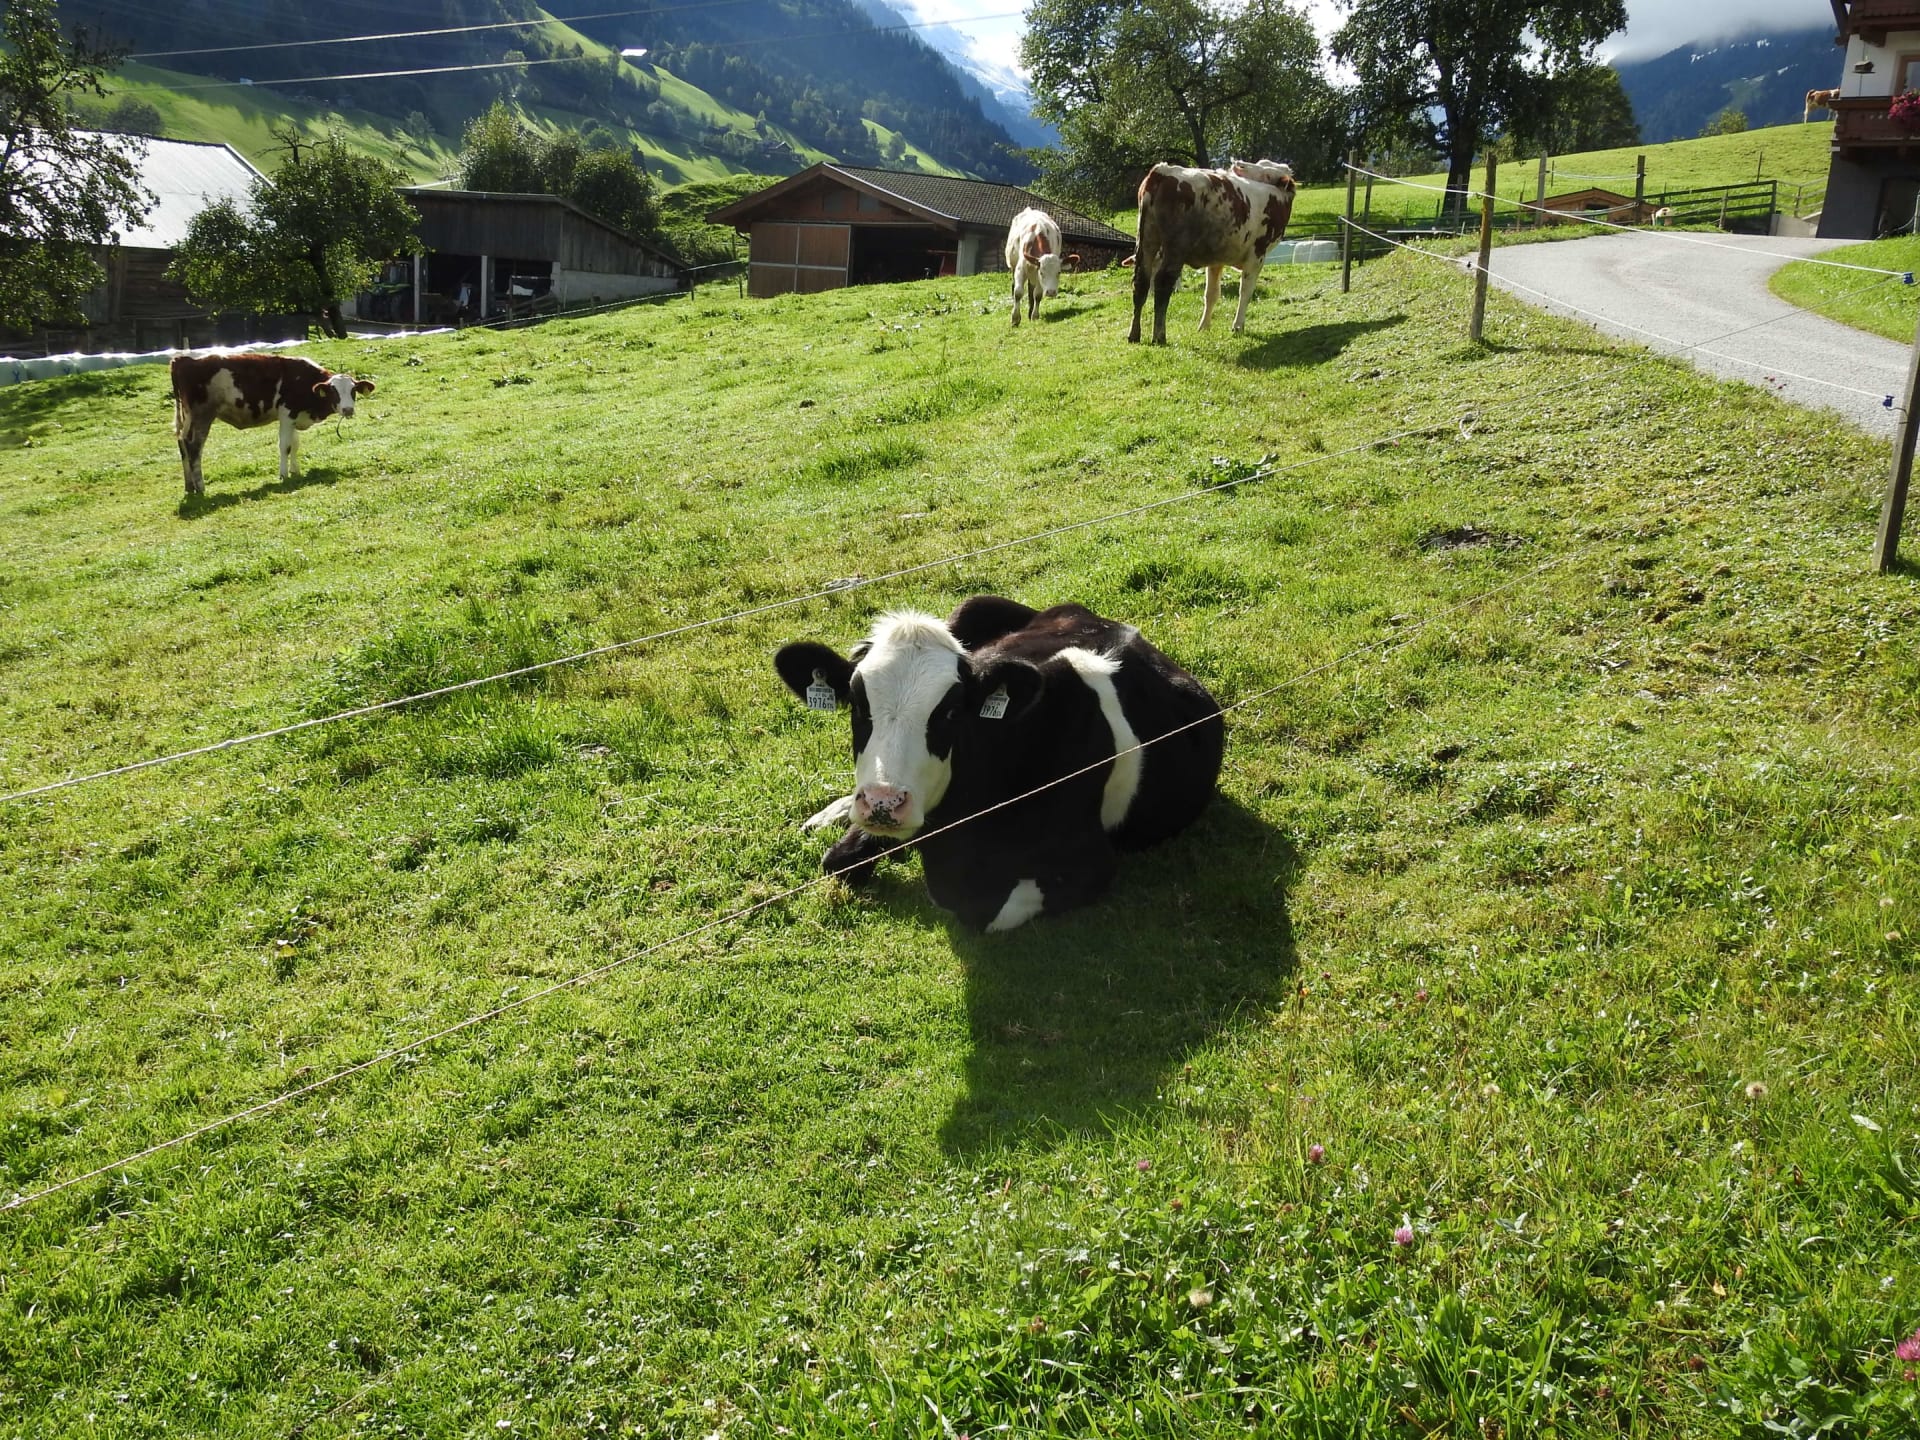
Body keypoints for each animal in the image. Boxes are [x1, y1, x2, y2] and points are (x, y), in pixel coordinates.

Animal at [170, 353, 376, 496]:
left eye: (353, 391)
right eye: (334, 392)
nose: (348, 410)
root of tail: (182, 359)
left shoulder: (293, 417)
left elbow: (295, 445)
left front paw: (295, 470)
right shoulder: (287, 414)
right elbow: (285, 446)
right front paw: (283, 475)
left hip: (187, 417)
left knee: (182, 443)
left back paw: (189, 486)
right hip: (203, 416)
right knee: (194, 447)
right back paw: (201, 487)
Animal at [774, 596, 1224, 932]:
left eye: (951, 712)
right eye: (857, 705)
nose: (883, 802)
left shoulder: (1091, 863)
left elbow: (978, 909)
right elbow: (837, 859)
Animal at [1128, 157, 1296, 345]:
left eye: (1266, 172)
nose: (1239, 163)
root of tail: (1162, 171)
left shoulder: (1217, 259)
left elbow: (1211, 294)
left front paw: (1204, 327)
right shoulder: (1257, 255)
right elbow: (1245, 291)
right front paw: (1238, 326)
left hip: (1146, 240)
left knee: (1141, 283)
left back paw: (1134, 334)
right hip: (1175, 248)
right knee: (1163, 283)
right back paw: (1159, 335)